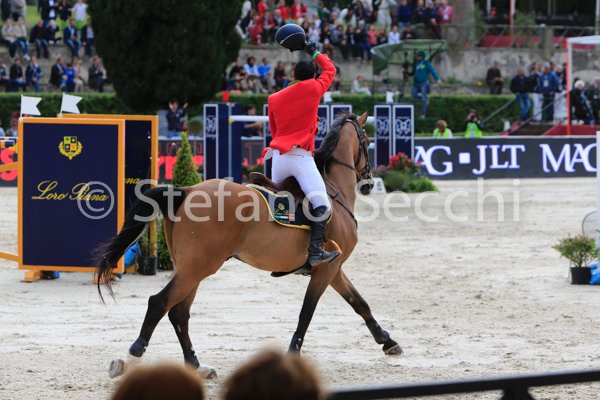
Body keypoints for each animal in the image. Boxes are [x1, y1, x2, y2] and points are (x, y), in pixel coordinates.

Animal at [96, 112, 402, 378]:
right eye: (366, 140)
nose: (369, 182)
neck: (334, 191)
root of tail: (188, 190)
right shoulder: (326, 269)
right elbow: (307, 312)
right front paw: (293, 355)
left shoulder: (334, 268)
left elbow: (360, 303)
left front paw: (387, 341)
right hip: (197, 267)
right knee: (159, 304)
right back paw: (132, 357)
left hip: (191, 269)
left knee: (179, 313)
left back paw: (197, 365)